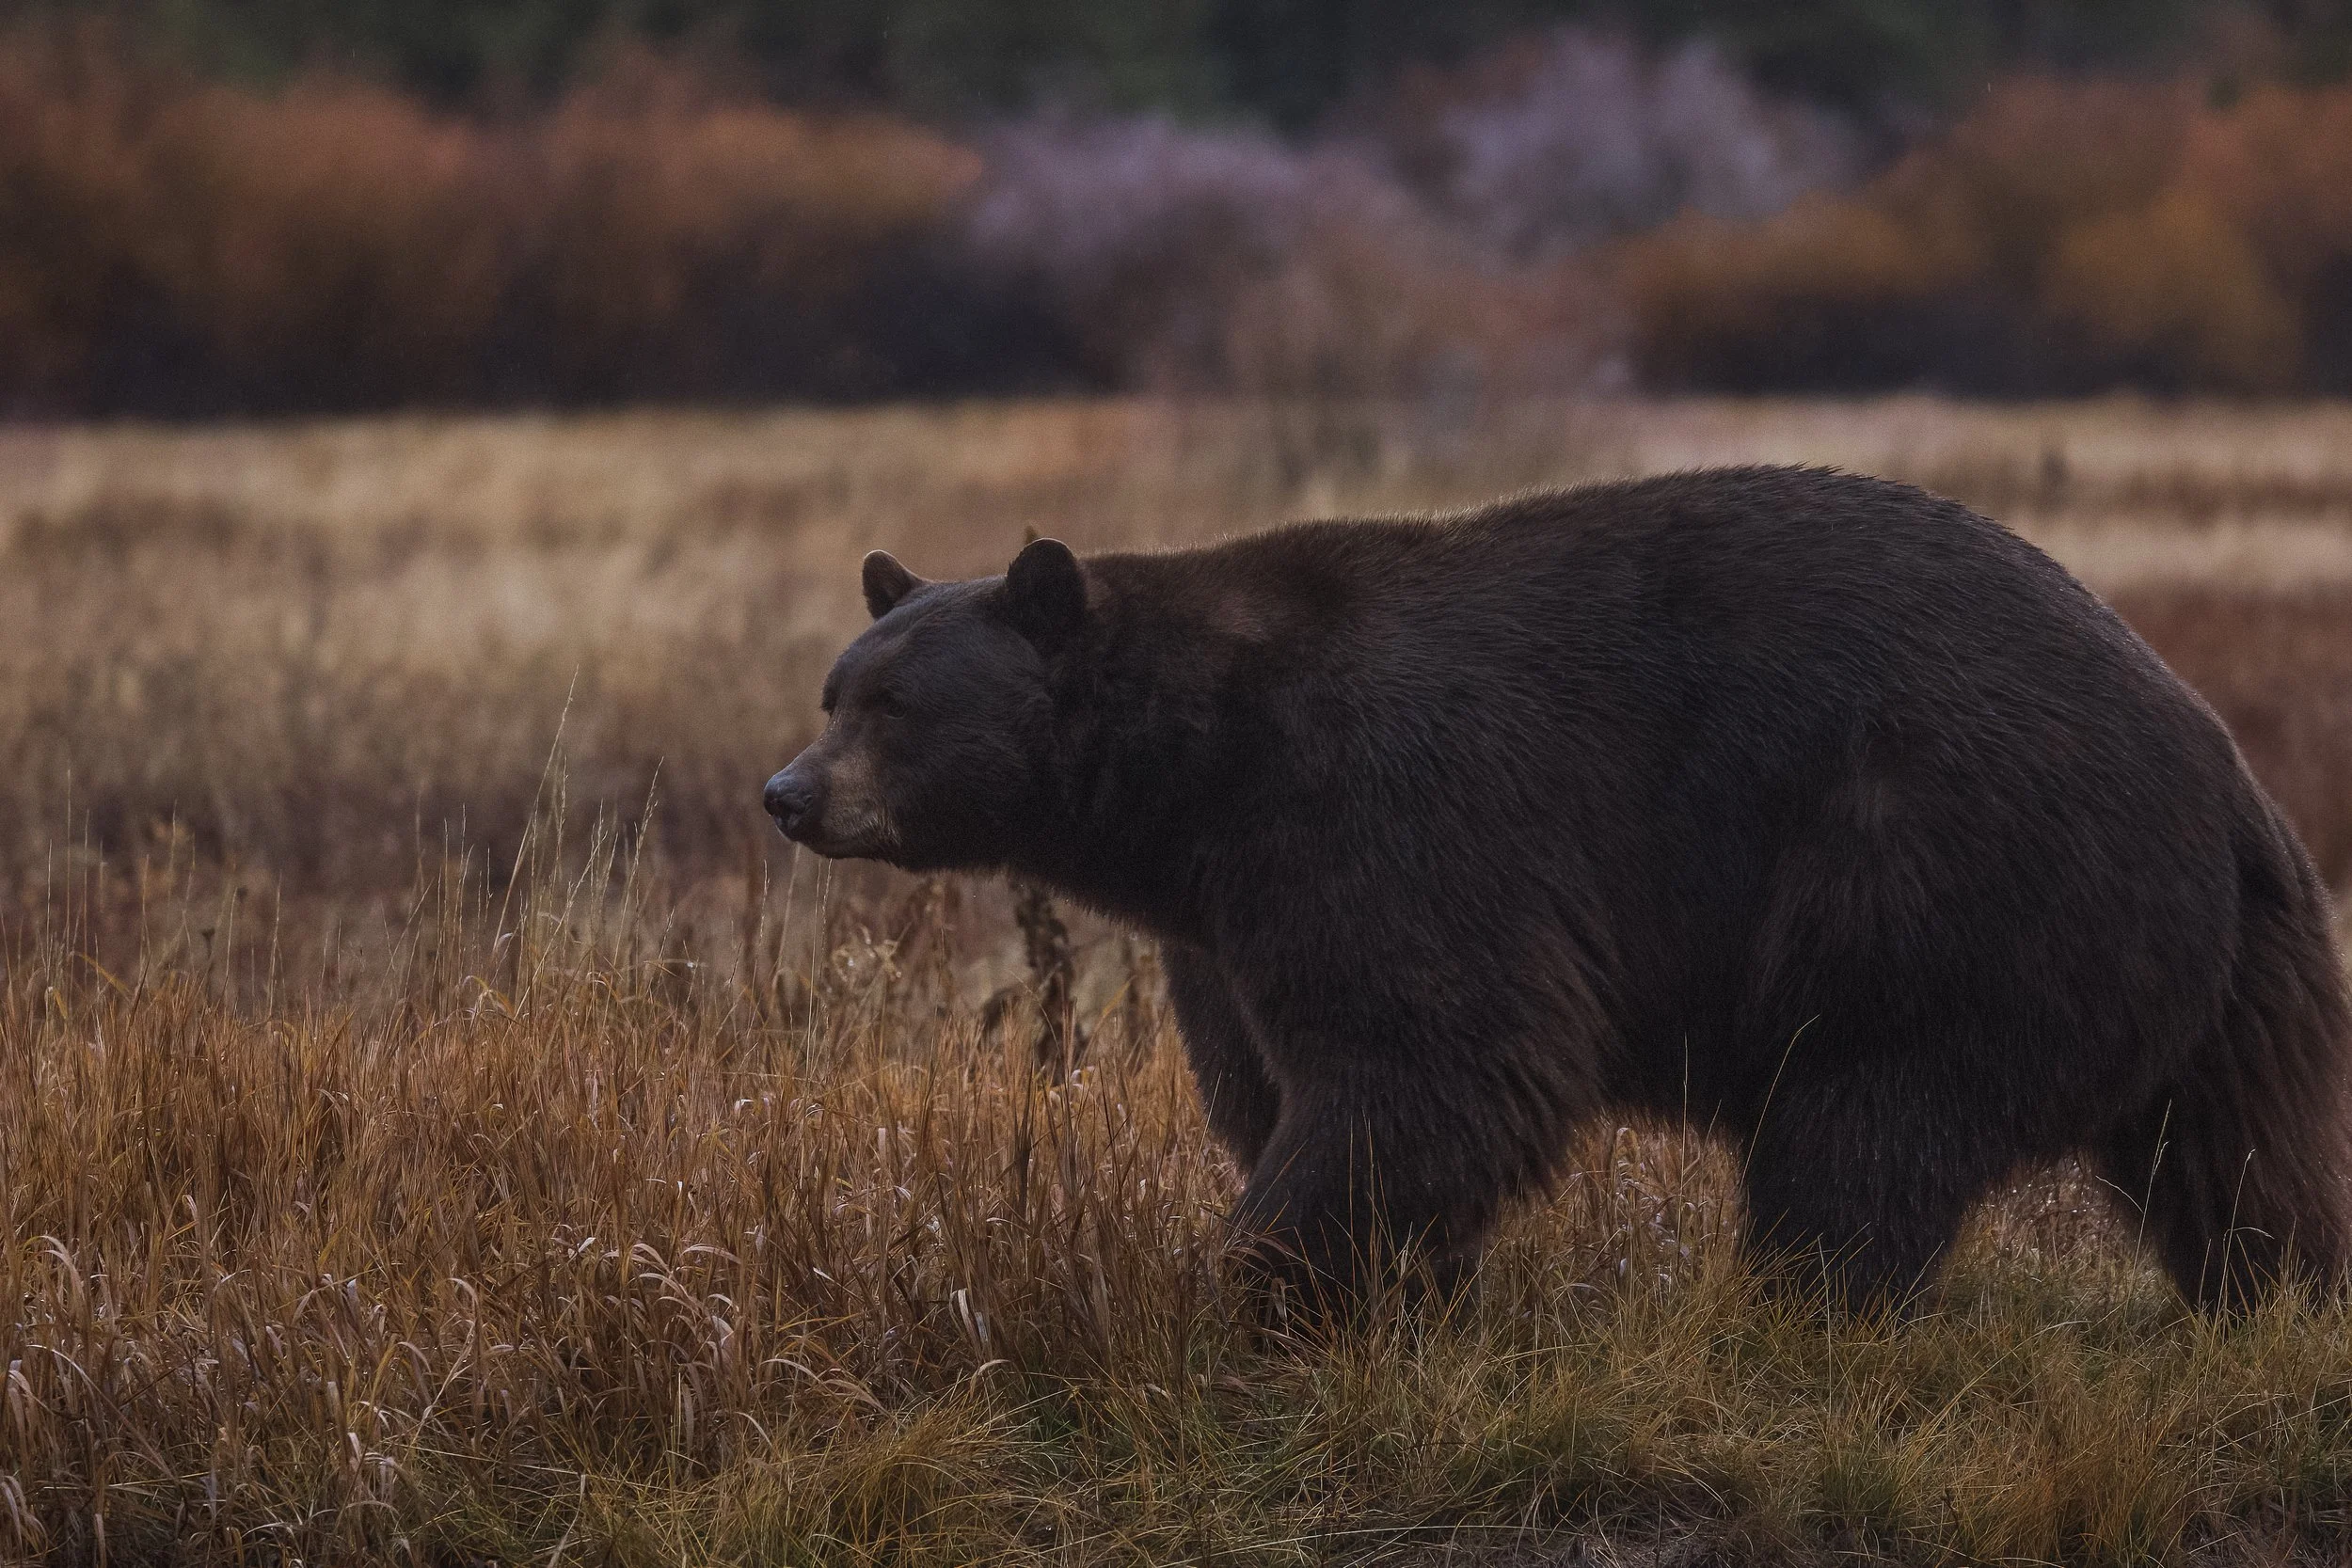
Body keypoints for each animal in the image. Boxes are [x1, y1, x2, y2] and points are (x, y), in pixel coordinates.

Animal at [763, 465, 2352, 1313]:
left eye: (895, 703)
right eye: (838, 685)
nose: (789, 792)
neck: (1196, 774)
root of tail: (2220, 760)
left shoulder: (1384, 810)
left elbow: (1434, 1060)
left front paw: (1261, 1270)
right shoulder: (1221, 915)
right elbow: (1273, 1074)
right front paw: (1381, 1282)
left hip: (1946, 877)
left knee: (1866, 1121)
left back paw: (1796, 1297)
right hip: (2226, 960)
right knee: (2241, 1144)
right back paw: (2275, 1292)